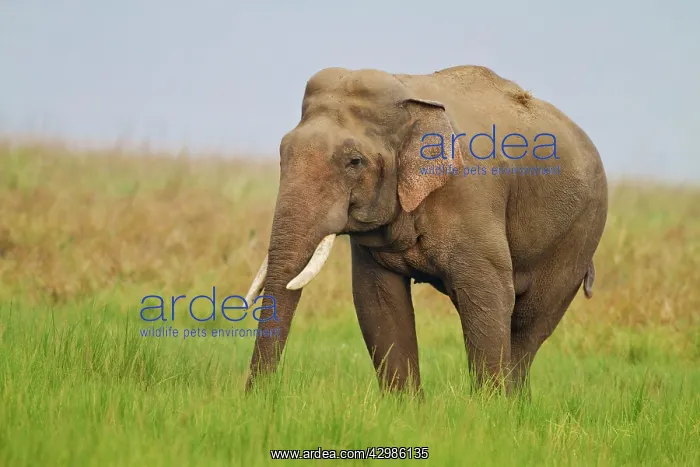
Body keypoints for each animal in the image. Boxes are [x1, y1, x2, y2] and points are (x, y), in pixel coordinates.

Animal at [243, 64, 608, 396]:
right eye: (282, 152)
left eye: (354, 162)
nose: (257, 399)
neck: (410, 97)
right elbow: (378, 301)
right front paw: (403, 409)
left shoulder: (471, 197)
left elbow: (488, 294)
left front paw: (488, 412)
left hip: (579, 233)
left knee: (528, 323)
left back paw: (513, 405)